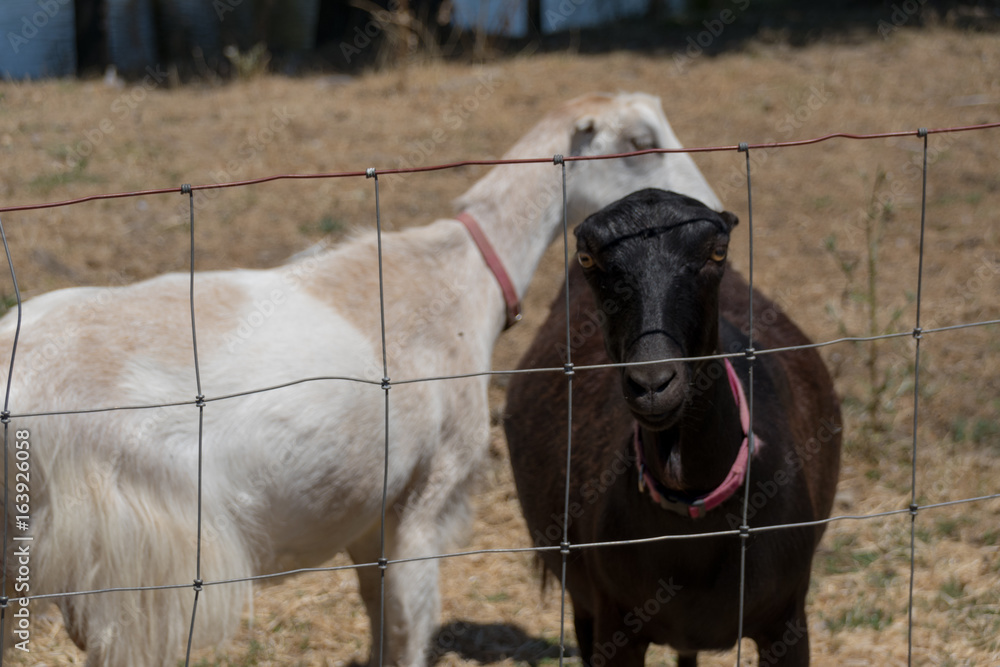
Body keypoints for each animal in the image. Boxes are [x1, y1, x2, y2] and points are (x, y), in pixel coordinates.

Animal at [0, 94, 721, 666]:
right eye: (640, 141)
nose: (712, 216)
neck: (459, 277)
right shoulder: (427, 496)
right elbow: (408, 626)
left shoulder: (372, 511)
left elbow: (380, 617)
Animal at [504, 189, 842, 666]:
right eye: (587, 257)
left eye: (718, 251)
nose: (652, 382)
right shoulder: (614, 621)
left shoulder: (787, 619)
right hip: (583, 602)